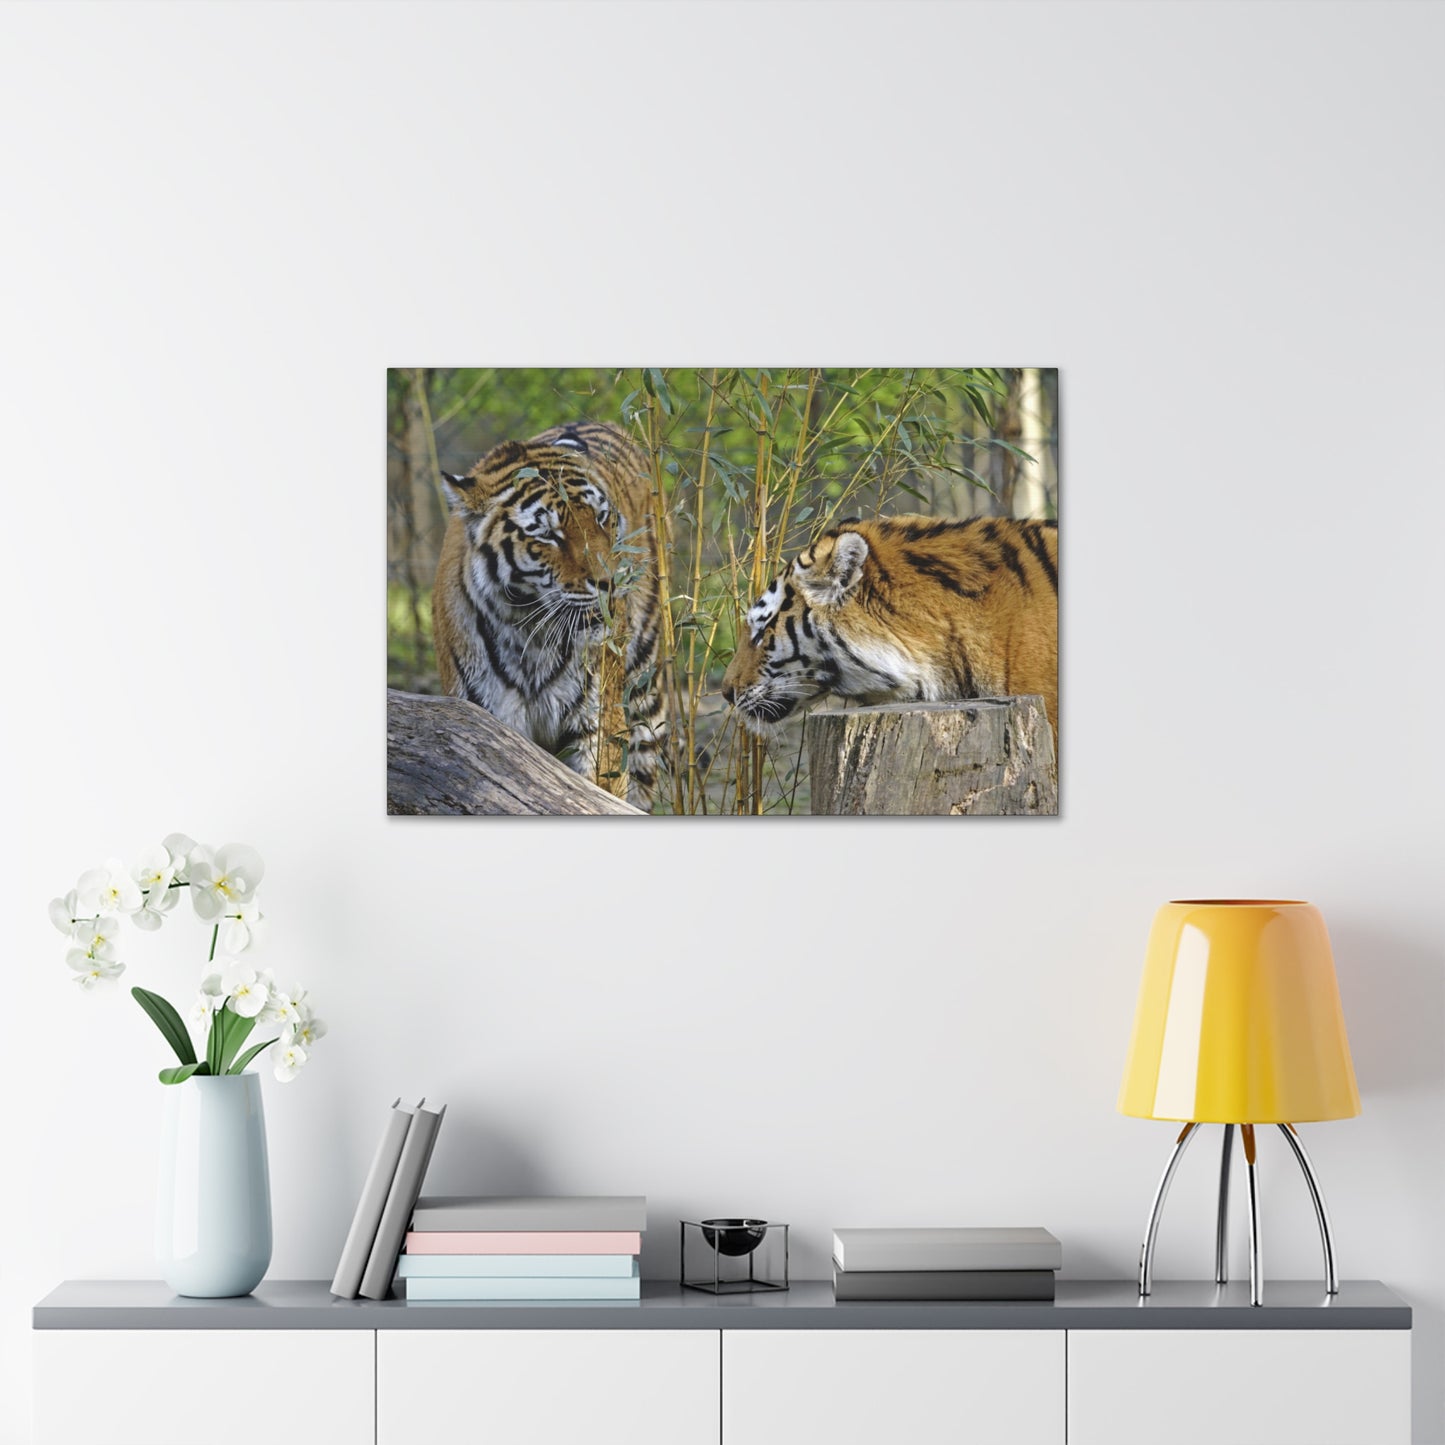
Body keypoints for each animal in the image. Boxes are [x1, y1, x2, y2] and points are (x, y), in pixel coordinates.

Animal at [433, 420, 666, 808]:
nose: (611, 582)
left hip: (644, 686)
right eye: (548, 534)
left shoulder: (597, 726)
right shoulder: (487, 722)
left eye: (601, 517)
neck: (529, 632)